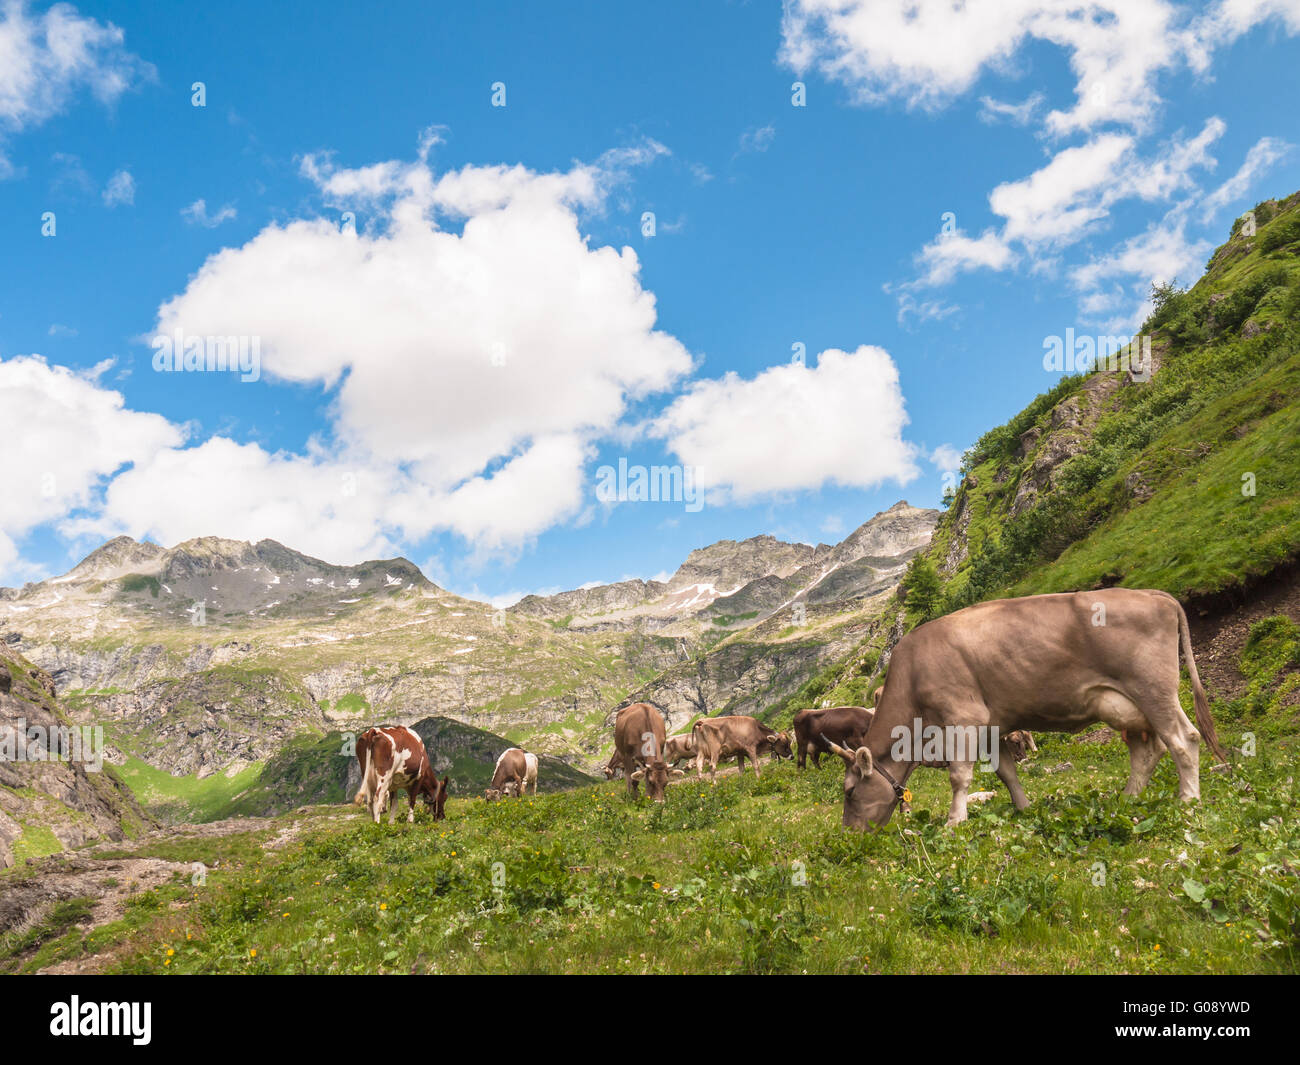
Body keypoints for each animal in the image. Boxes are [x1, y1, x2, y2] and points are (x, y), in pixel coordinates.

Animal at [826, 590, 1222, 832]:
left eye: (849, 792)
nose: (849, 834)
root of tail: (1154, 594)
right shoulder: (992, 727)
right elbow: (1007, 772)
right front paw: (1024, 808)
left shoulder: (964, 719)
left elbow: (960, 776)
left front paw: (955, 822)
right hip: (1126, 707)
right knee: (1147, 750)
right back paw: (1128, 798)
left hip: (1154, 690)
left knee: (1183, 739)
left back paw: (1188, 800)